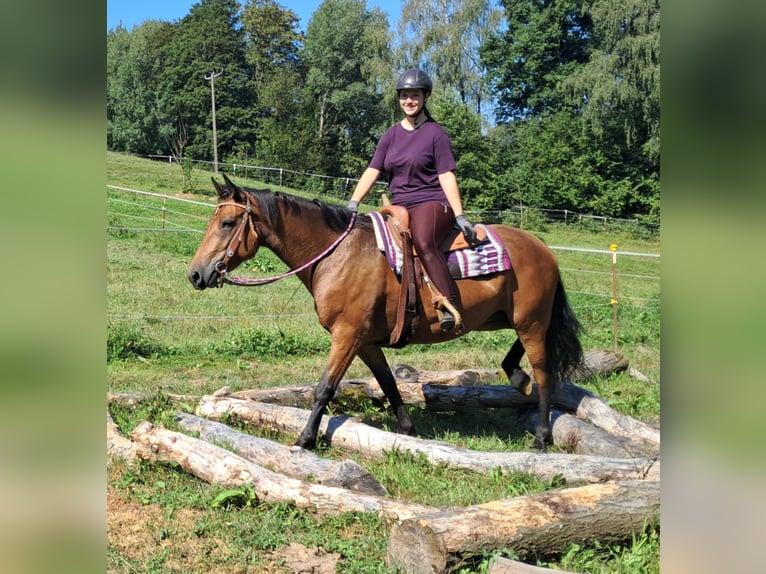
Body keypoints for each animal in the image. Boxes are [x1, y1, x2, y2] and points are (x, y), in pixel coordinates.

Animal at [188, 174, 583, 450]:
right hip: (515, 319)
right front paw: (410, 432)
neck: (340, 255)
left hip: (531, 323)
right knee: (522, 361)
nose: (196, 274)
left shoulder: (347, 336)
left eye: (227, 223)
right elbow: (389, 384)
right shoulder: (365, 341)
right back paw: (517, 378)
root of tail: (542, 248)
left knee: (545, 374)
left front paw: (305, 439)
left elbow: (324, 388)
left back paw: (542, 436)